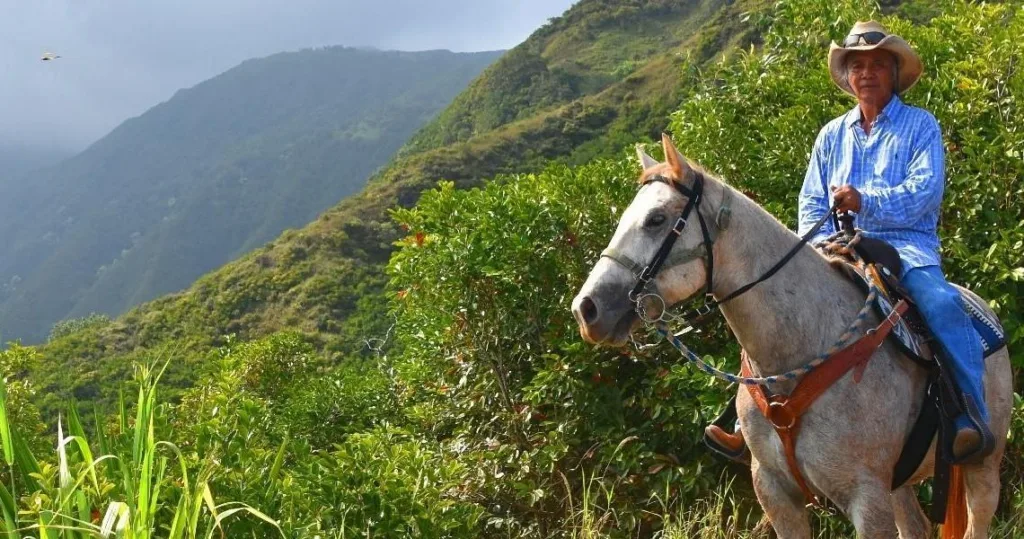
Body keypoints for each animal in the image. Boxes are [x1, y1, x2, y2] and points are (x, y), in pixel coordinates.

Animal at [570, 134, 1012, 538]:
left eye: (656, 219)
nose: (586, 309)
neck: (800, 352)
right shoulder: (775, 493)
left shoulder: (866, 498)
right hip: (899, 485)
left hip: (983, 469)